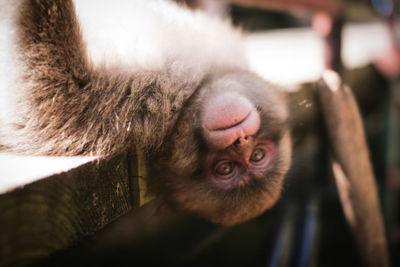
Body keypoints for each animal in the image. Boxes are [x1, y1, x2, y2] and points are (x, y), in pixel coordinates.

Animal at [0, 0, 292, 226]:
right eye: (256, 155)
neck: (199, 83)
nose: (240, 140)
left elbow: (49, 95)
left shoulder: (139, 105)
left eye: (226, 168)